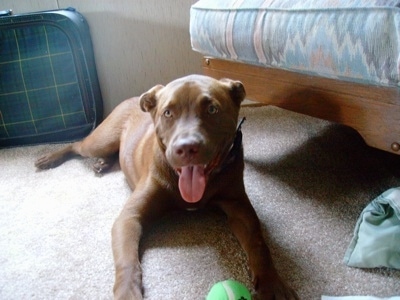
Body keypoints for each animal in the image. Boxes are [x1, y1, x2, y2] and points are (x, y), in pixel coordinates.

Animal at [34, 75, 298, 300]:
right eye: (168, 113)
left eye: (212, 109)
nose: (186, 147)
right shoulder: (130, 217)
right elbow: (127, 260)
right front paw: (127, 292)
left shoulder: (239, 207)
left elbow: (258, 242)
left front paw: (272, 284)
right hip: (101, 140)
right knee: (78, 145)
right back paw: (49, 158)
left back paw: (102, 164)